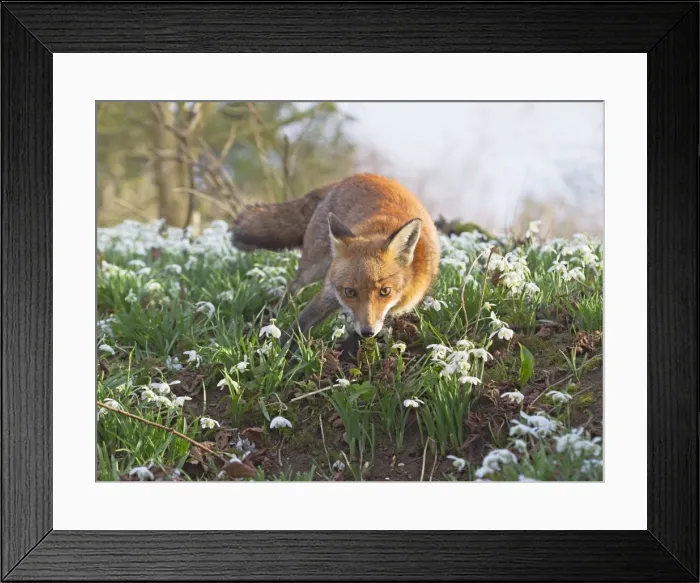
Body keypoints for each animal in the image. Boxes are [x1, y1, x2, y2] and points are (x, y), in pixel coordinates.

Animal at [231, 173, 441, 349]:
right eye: (350, 292)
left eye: (385, 291)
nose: (367, 332)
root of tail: (350, 177)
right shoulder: (329, 294)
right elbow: (300, 324)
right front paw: (275, 351)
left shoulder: (392, 312)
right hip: (314, 267)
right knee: (294, 285)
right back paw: (276, 314)